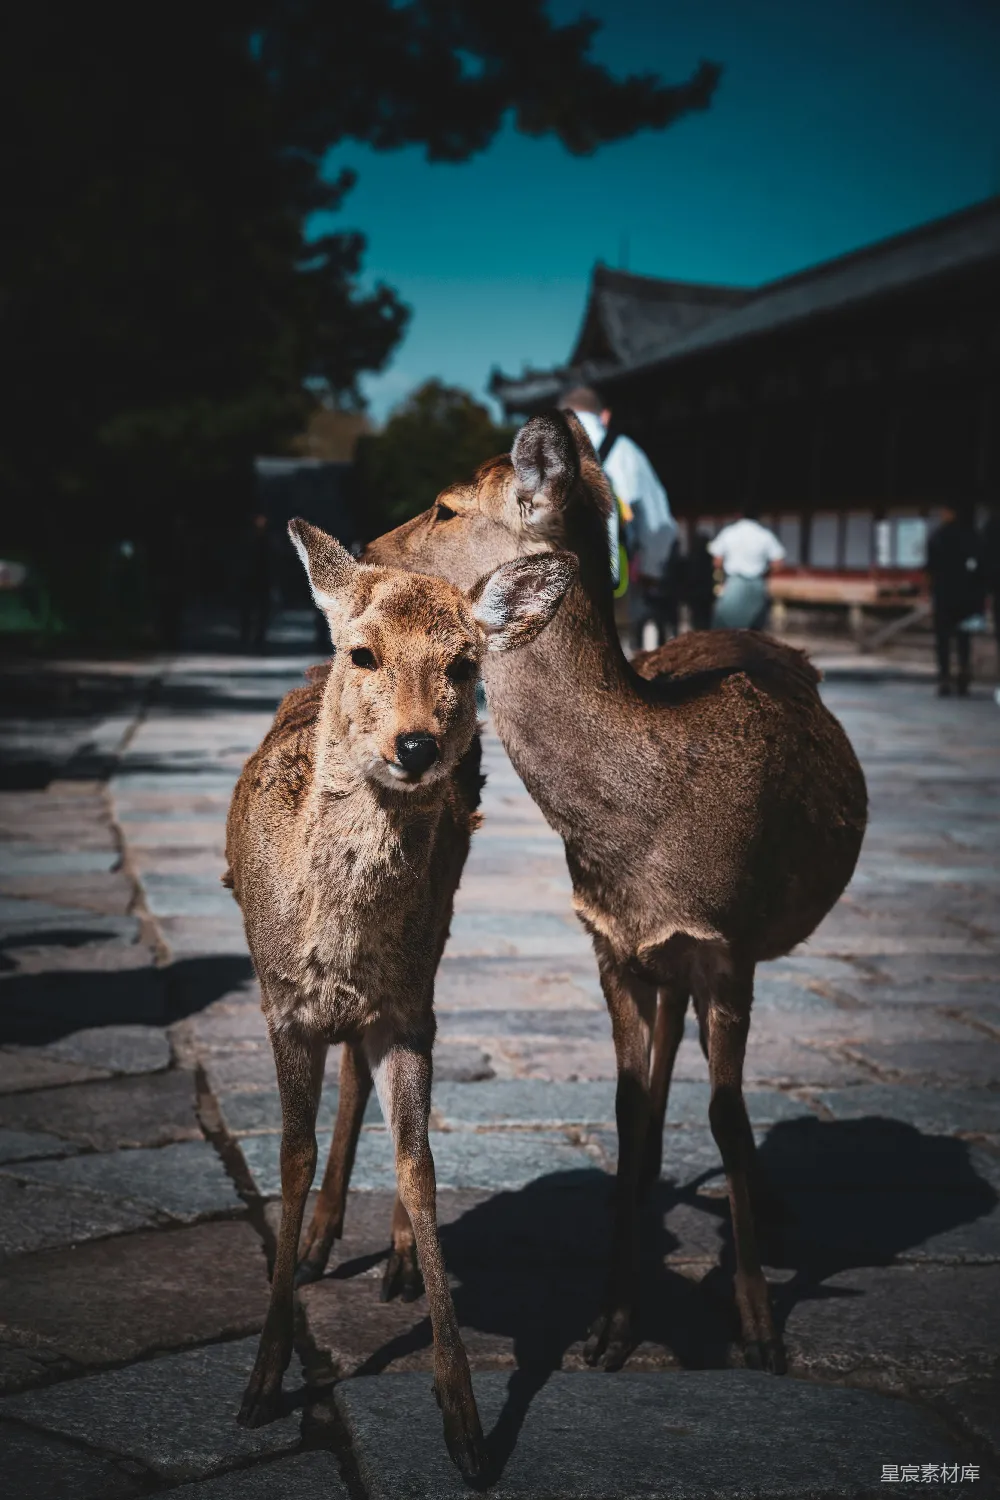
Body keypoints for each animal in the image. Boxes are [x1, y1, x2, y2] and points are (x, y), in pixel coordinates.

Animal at [223, 517, 576, 1481]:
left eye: (463, 663)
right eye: (365, 652)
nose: (415, 747)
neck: (335, 944)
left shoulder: (408, 1009)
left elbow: (419, 1160)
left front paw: (466, 1427)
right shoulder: (282, 1001)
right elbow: (292, 1156)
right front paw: (261, 1384)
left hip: (437, 940)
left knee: (370, 1080)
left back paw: (394, 1262)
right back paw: (319, 1244)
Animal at [364, 410, 868, 1378]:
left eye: (445, 507)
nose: (367, 550)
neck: (650, 843)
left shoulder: (728, 942)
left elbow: (726, 1114)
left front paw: (758, 1328)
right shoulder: (608, 942)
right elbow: (629, 1109)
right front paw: (610, 1323)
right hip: (659, 962)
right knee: (662, 1063)